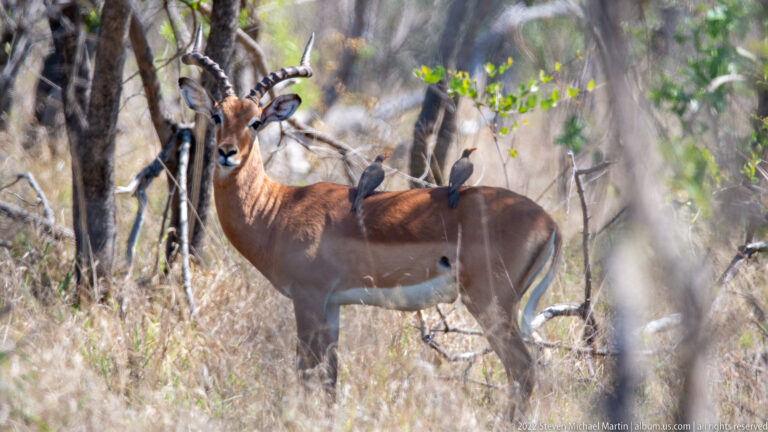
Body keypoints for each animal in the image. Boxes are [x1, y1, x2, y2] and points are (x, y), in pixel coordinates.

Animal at [178, 28, 561, 413]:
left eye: (256, 121)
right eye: (217, 115)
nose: (227, 153)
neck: (277, 208)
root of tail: (550, 223)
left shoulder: (308, 298)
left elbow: (305, 372)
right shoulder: (332, 305)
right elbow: (330, 377)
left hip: (489, 304)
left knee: (523, 369)